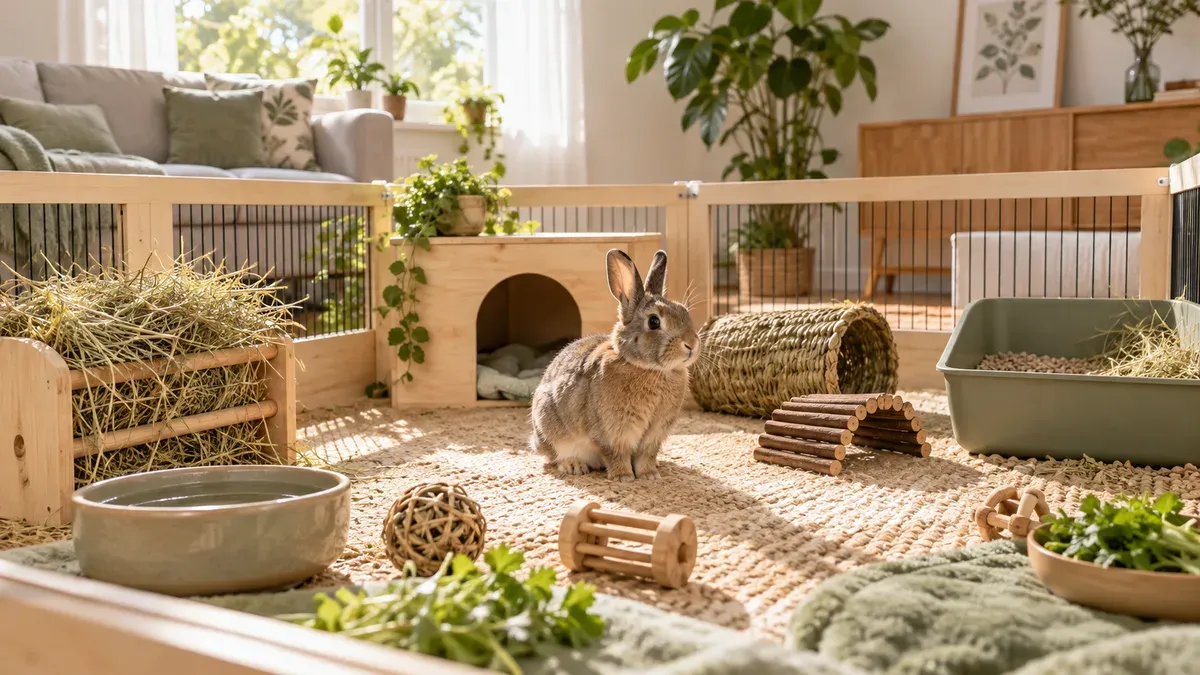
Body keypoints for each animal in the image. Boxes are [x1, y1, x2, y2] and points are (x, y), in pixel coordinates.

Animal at [529, 248, 700, 482]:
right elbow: (616, 453)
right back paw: (574, 466)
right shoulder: (612, 432)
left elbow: (646, 455)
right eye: (654, 322)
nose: (691, 344)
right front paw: (623, 477)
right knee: (554, 456)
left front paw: (650, 475)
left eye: (684, 311)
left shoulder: (654, 434)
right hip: (550, 427)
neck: (647, 368)